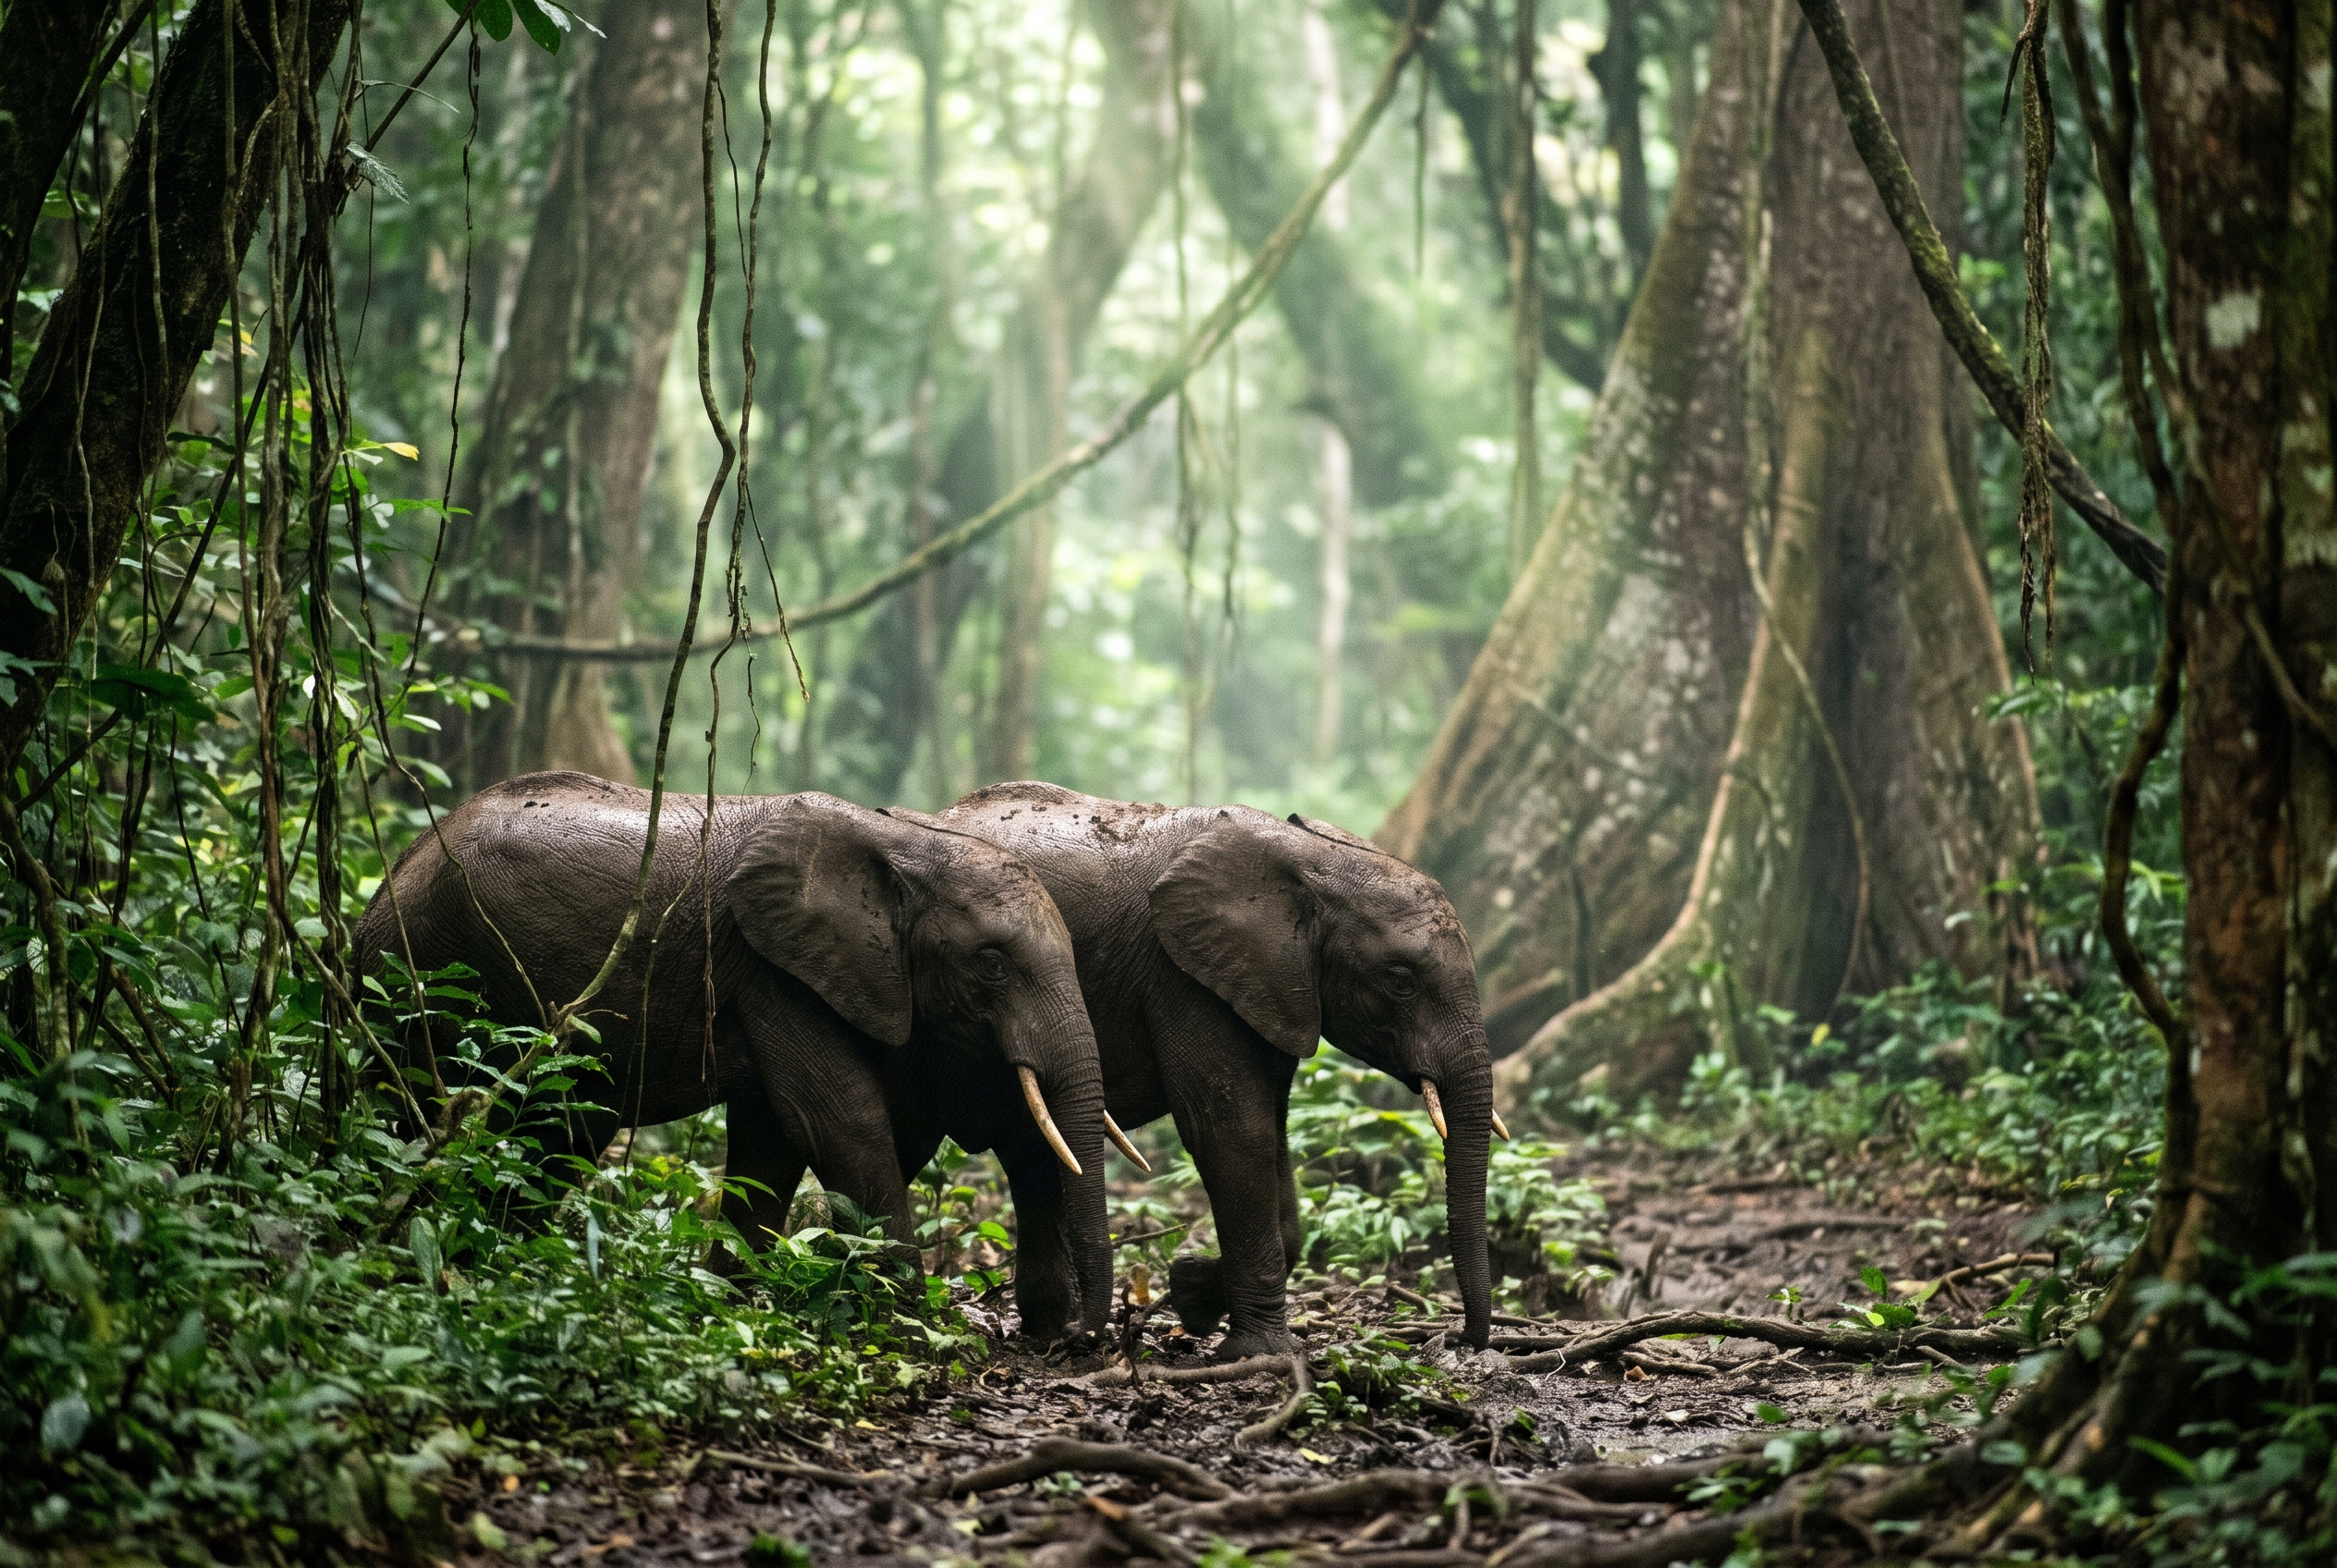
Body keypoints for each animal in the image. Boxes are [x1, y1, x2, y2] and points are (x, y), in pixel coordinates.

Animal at [353, 770, 1120, 1338]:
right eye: (991, 965)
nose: (1082, 1341)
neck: (906, 844)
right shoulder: (774, 971)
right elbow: (837, 1122)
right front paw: (910, 1325)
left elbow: (772, 1141)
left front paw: (726, 1299)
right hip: (429, 979)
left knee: (559, 1133)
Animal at [936, 782, 1499, 1355]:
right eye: (1401, 981)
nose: (1461, 1339)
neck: (1309, 859)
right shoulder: (1183, 975)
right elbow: (1233, 1132)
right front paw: (1261, 1353)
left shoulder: (1268, 988)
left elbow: (1271, 1130)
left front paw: (1190, 1292)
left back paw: (1056, 1330)